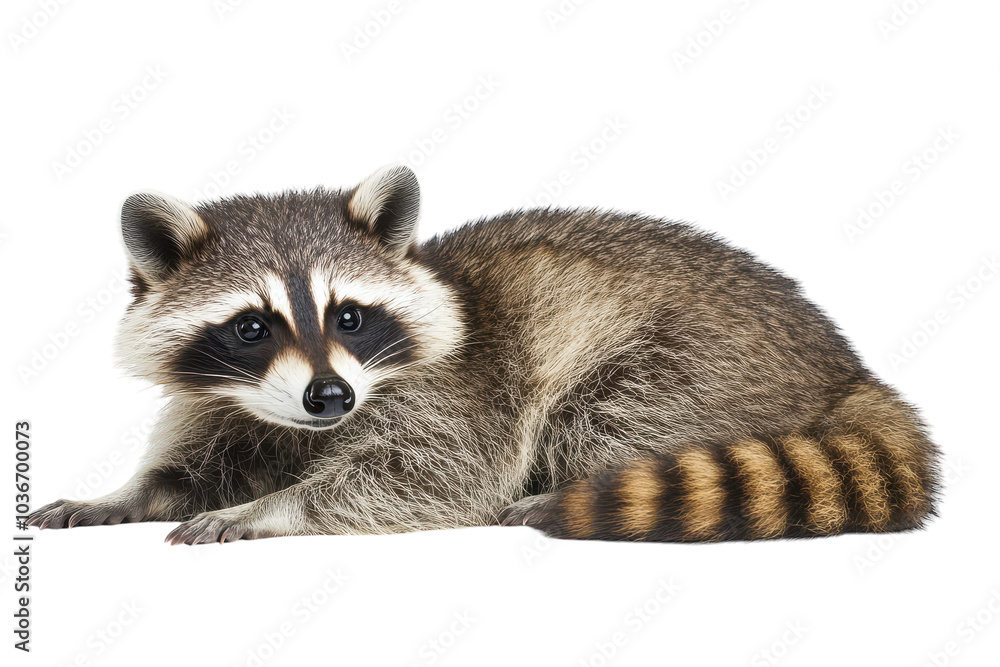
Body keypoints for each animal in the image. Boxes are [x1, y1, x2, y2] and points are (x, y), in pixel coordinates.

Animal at [28, 165, 941, 545]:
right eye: (252, 326)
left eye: (350, 315)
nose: (330, 398)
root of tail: (845, 365)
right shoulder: (222, 400)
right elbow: (190, 465)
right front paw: (125, 492)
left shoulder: (454, 392)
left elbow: (428, 474)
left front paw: (271, 506)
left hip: (699, 358)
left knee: (609, 417)